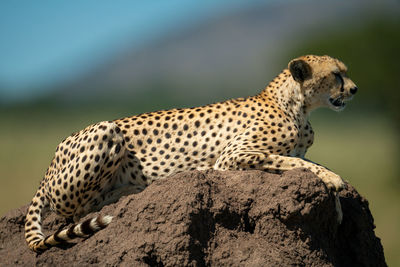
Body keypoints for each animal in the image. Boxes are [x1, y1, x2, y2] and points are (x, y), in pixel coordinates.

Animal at [25, 55, 356, 253]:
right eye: (336, 74)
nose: (354, 89)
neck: (295, 105)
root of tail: (49, 165)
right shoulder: (232, 156)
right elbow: (294, 161)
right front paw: (333, 183)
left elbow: (310, 161)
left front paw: (337, 203)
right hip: (106, 130)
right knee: (75, 210)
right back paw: (135, 189)